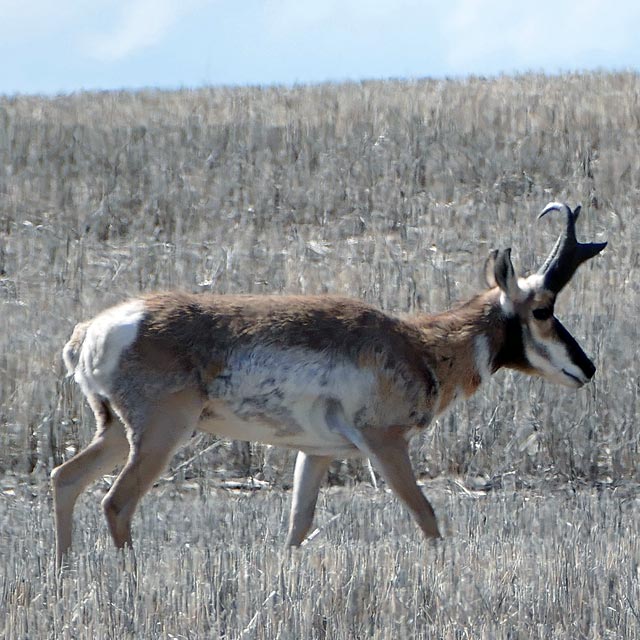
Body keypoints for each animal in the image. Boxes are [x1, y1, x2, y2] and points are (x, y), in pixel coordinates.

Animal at [51, 202, 604, 564]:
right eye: (542, 309)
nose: (589, 368)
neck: (417, 343)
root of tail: (93, 329)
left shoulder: (314, 454)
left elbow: (297, 527)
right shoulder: (385, 443)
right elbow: (426, 516)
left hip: (116, 432)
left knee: (65, 478)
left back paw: (65, 574)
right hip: (159, 436)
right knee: (115, 502)